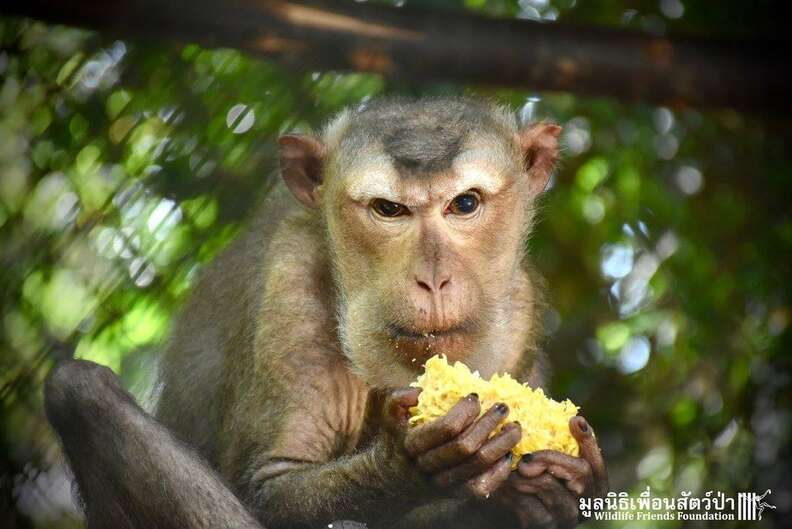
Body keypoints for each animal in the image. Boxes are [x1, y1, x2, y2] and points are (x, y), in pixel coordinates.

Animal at [44, 96, 608, 529]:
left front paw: (552, 493)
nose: (433, 280)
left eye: (465, 204)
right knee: (79, 393)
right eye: (389, 209)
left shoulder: (522, 311)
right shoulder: (288, 284)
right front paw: (411, 463)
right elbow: (274, 482)